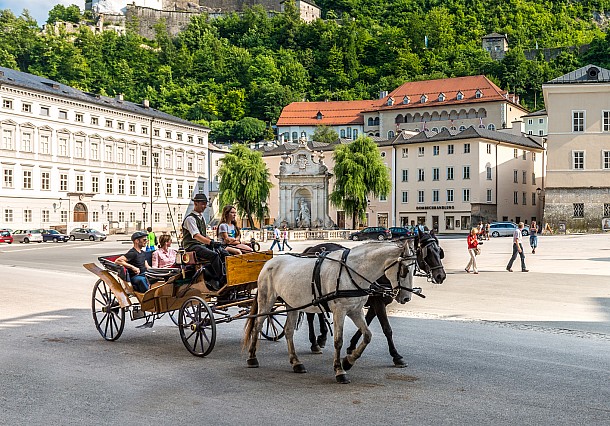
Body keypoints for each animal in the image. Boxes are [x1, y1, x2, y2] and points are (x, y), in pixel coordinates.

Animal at [242, 241, 414, 384]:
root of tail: (269, 262)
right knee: (257, 326)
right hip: (266, 300)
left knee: (289, 331)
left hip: (292, 304)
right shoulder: (340, 311)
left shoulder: (355, 310)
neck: (352, 272)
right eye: (405, 270)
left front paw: (348, 361)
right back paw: (252, 357)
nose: (406, 298)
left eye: (414, 268)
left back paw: (296, 362)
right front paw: (340, 370)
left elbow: (367, 335)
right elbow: (338, 341)